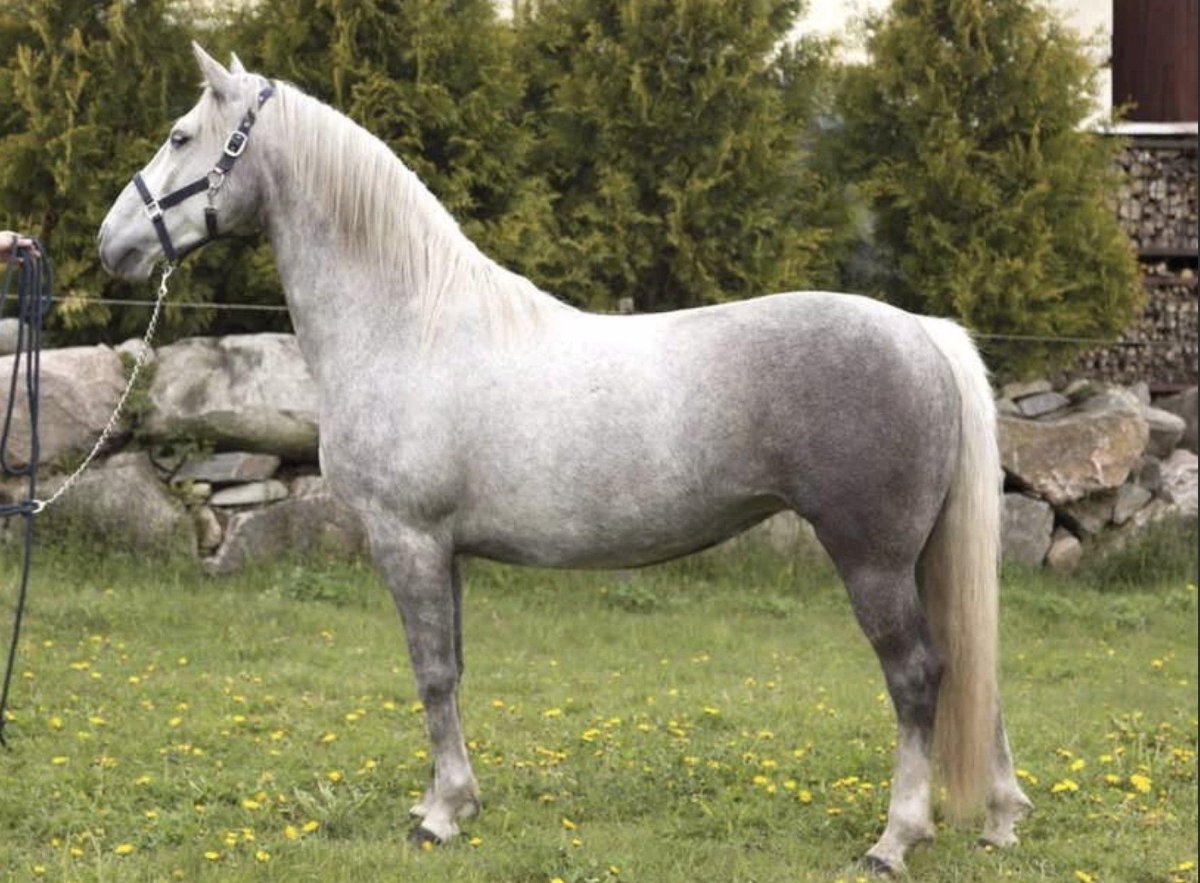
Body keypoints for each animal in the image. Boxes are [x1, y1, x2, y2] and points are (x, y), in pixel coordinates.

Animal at [98, 44, 1032, 874]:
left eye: (181, 135)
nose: (113, 246)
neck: (411, 324)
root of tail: (922, 332)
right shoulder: (447, 551)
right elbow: (452, 669)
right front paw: (452, 799)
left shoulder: (408, 539)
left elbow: (431, 673)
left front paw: (439, 816)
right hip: (920, 559)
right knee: (967, 667)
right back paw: (1000, 818)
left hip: (872, 558)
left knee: (917, 676)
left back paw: (895, 839)